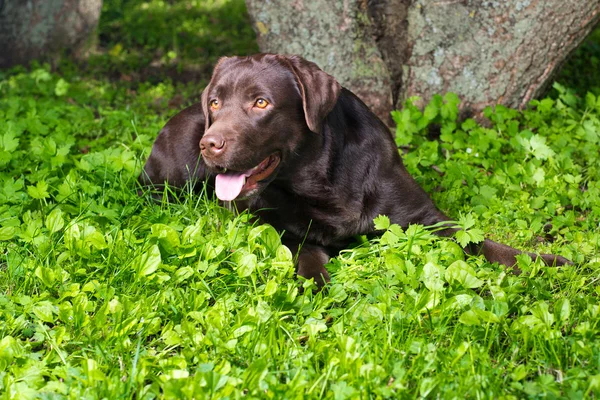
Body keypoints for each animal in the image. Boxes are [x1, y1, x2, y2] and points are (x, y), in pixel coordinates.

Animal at [141, 53, 572, 286]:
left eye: (260, 102)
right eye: (215, 103)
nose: (210, 143)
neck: (320, 181)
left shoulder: (425, 218)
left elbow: (482, 243)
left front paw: (548, 262)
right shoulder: (285, 231)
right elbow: (308, 258)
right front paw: (314, 288)